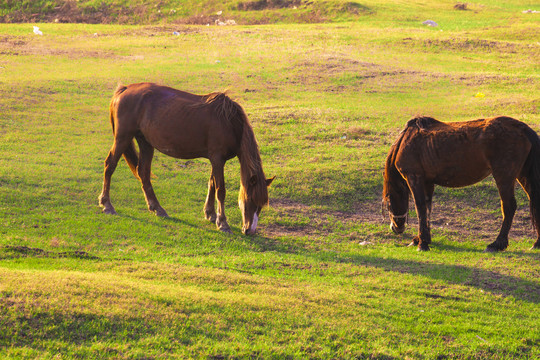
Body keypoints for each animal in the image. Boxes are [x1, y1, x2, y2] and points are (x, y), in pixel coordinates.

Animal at [98, 83, 274, 236]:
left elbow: (211, 184)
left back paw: (157, 208)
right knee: (110, 165)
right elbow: (220, 190)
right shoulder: (218, 159)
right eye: (250, 199)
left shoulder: (216, 160)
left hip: (145, 142)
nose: (249, 230)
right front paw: (223, 223)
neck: (229, 122)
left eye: (261, 205)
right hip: (123, 138)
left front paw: (210, 214)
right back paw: (107, 205)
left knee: (143, 173)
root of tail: (125, 89)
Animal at [382, 116, 540, 252]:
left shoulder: (415, 178)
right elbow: (427, 209)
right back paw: (537, 243)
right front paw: (423, 238)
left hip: (504, 176)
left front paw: (422, 243)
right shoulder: (428, 183)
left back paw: (496, 244)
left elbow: (420, 208)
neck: (406, 141)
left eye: (388, 203)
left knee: (508, 207)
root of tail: (521, 128)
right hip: (522, 175)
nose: (395, 228)